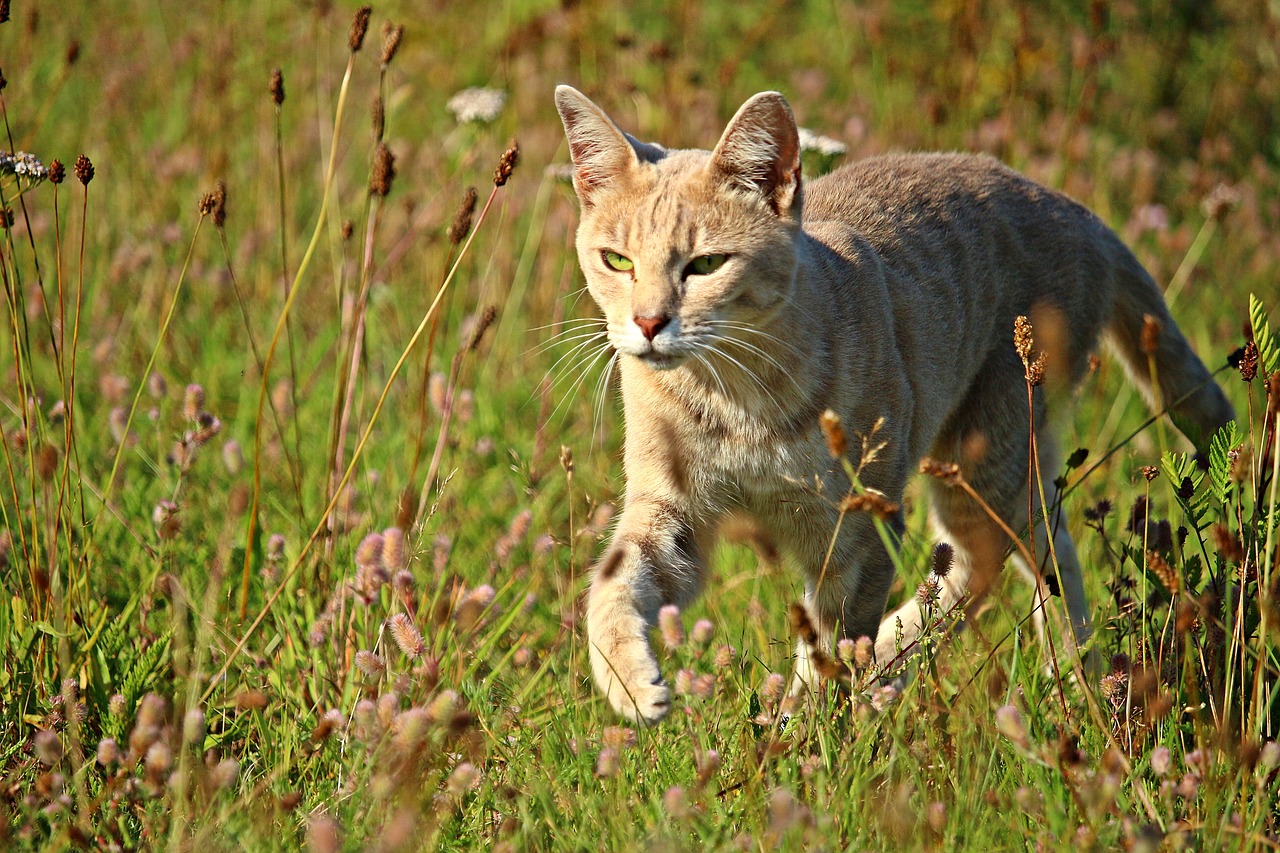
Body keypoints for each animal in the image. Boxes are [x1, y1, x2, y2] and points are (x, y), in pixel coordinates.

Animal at [555, 84, 1233, 722]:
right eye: (616, 260)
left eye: (705, 265)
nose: (647, 323)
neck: (733, 400)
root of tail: (1072, 208)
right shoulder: (670, 514)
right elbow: (613, 587)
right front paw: (629, 682)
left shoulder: (863, 526)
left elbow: (835, 641)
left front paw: (809, 731)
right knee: (1034, 553)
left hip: (991, 454)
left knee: (991, 561)